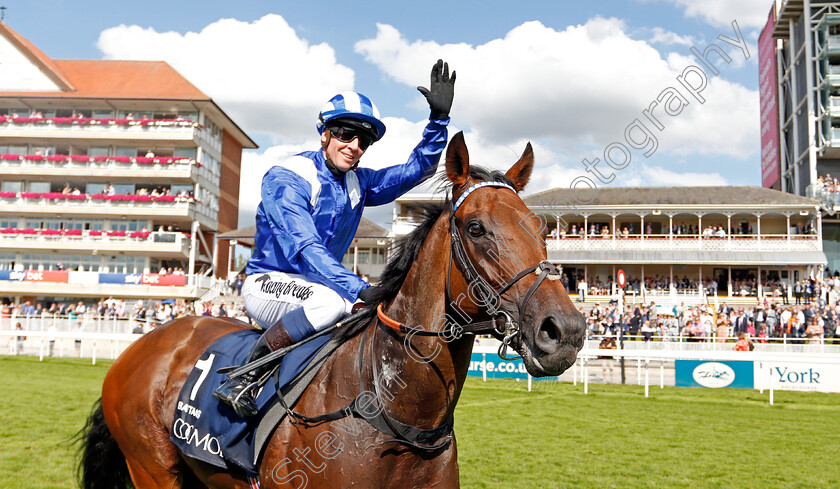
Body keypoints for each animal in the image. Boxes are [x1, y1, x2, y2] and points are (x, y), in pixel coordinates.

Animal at [79, 132, 584, 486]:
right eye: (476, 228)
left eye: (542, 227)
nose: (566, 330)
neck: (390, 409)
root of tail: (140, 346)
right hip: (152, 467)